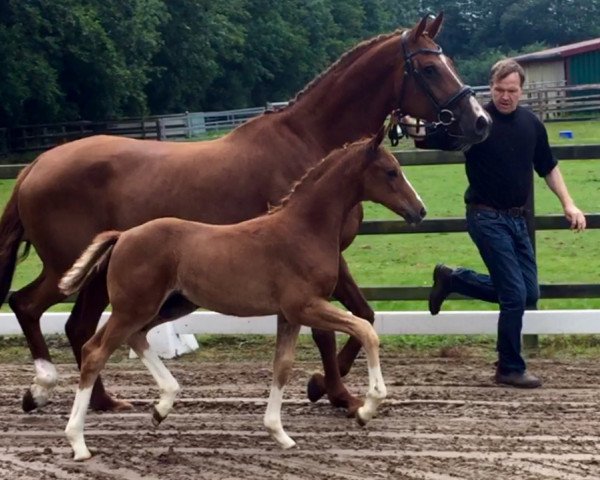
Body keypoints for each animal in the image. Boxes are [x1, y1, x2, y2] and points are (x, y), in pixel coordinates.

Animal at [59, 129, 426, 460]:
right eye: (391, 171)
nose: (419, 210)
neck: (304, 229)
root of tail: (122, 236)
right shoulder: (305, 306)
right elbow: (365, 330)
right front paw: (367, 408)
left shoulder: (288, 315)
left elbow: (282, 366)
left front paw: (279, 433)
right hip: (133, 307)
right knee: (95, 351)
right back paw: (78, 443)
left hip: (170, 305)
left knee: (134, 337)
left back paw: (162, 405)